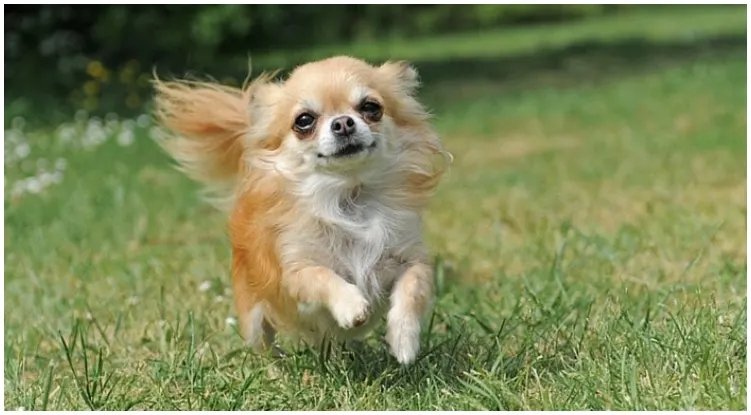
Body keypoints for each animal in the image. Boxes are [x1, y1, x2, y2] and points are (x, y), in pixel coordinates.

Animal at [151, 56, 450, 368]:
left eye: (371, 107)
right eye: (304, 120)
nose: (343, 122)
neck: (348, 196)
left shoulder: (410, 259)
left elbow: (412, 289)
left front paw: (404, 341)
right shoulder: (296, 272)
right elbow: (323, 277)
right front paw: (351, 305)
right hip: (254, 316)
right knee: (264, 345)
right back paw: (277, 368)